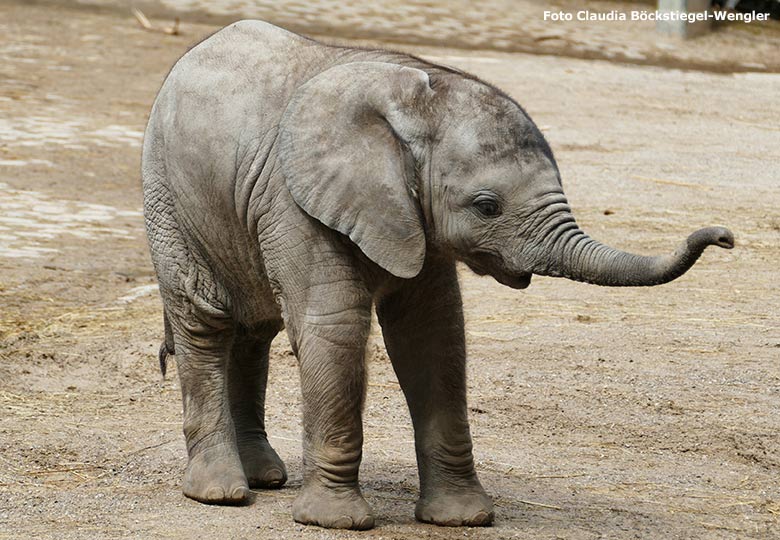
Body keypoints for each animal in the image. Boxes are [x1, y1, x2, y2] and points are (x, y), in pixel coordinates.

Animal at [143, 20, 736, 528]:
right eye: (486, 206)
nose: (725, 237)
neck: (411, 102)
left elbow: (433, 335)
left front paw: (462, 519)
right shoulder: (295, 204)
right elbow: (335, 329)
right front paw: (336, 522)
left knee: (254, 330)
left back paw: (265, 478)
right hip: (167, 195)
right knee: (205, 320)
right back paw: (220, 492)